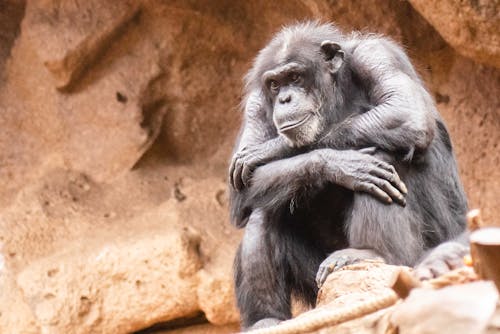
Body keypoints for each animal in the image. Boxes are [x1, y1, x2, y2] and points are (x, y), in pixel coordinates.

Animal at [229, 22, 466, 330]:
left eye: (295, 77)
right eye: (274, 84)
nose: (284, 98)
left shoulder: (376, 55)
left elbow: (405, 111)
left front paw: (273, 148)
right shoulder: (257, 104)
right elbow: (243, 189)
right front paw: (338, 164)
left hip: (420, 252)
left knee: (384, 156)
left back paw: (369, 252)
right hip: (319, 283)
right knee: (262, 208)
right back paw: (265, 320)